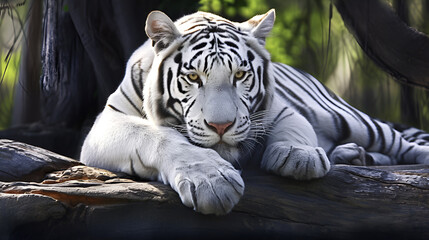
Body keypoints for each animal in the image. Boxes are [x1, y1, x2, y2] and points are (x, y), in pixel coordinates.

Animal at [80, 9, 428, 216]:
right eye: (193, 77)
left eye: (239, 75)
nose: (221, 126)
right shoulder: (106, 126)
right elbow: (157, 135)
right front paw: (213, 182)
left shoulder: (283, 108)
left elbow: (296, 129)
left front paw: (299, 156)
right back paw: (354, 156)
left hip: (348, 118)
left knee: (403, 143)